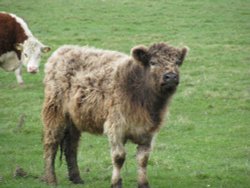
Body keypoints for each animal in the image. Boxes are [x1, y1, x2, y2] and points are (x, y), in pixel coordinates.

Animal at [42, 42, 188, 188]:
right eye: (153, 62)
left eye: (177, 62)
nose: (171, 76)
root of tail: (64, 49)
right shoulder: (115, 127)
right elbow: (119, 157)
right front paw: (116, 183)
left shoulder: (148, 131)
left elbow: (143, 159)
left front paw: (143, 184)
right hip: (55, 112)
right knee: (51, 143)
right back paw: (51, 179)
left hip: (74, 120)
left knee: (71, 146)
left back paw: (76, 178)